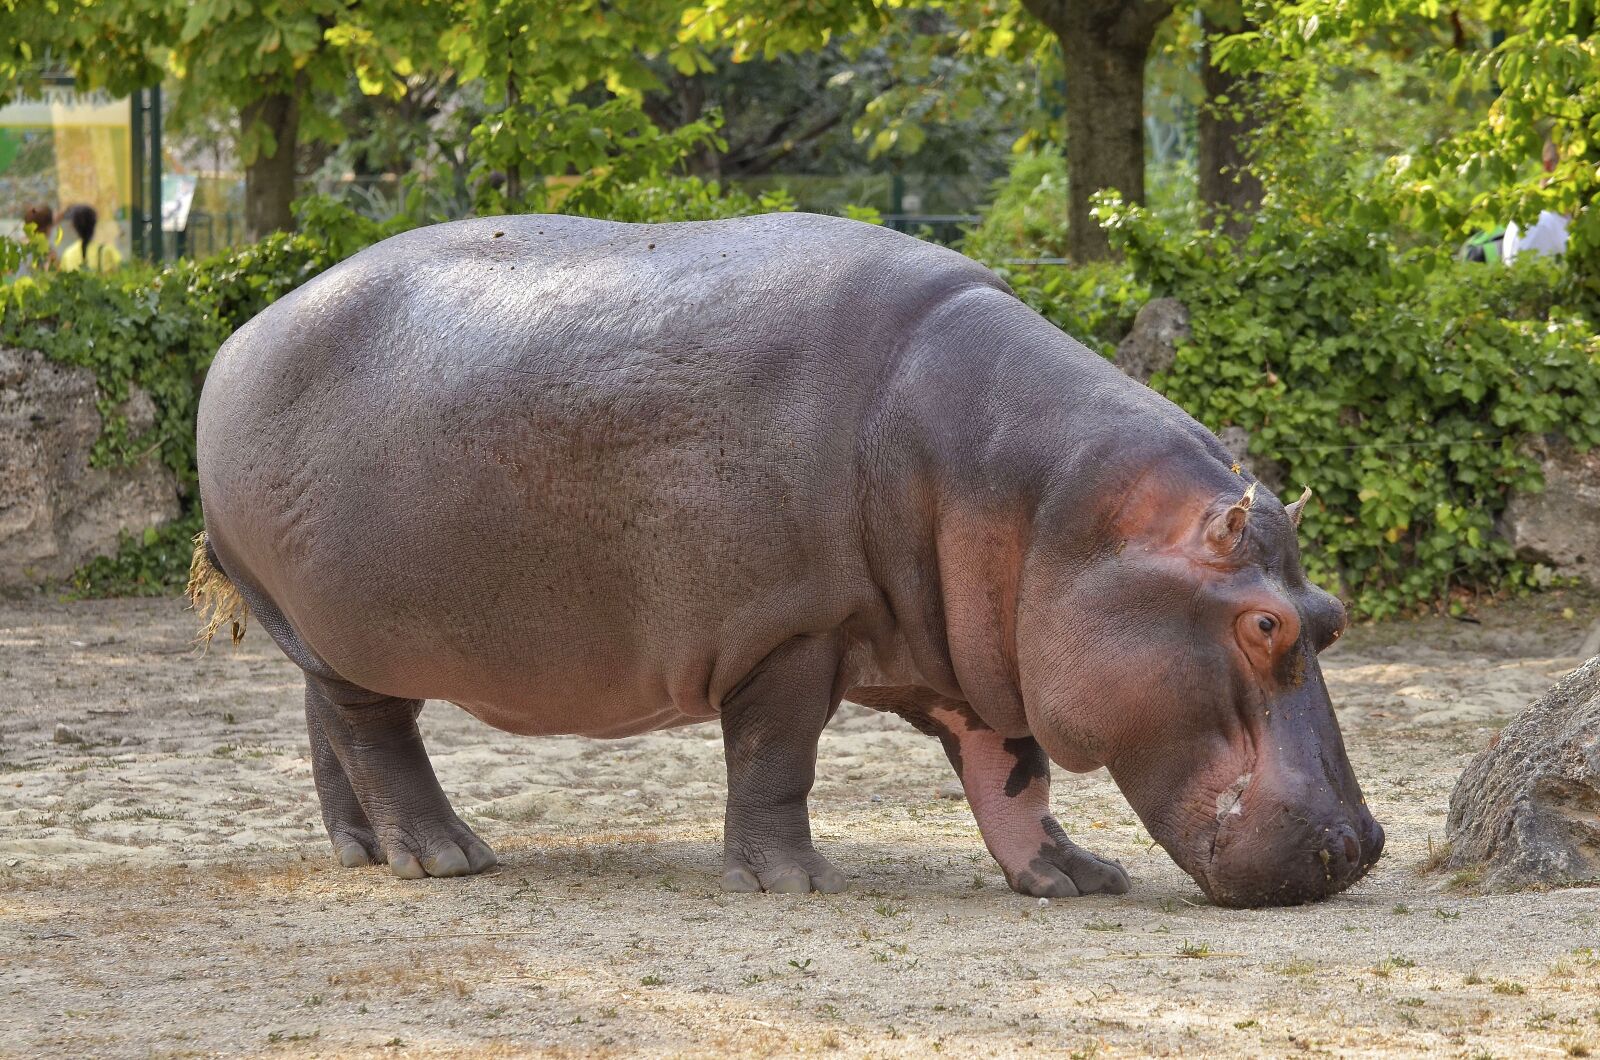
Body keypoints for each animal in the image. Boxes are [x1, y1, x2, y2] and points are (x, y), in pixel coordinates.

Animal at [191, 212, 1383, 907]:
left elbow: (1015, 771)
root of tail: (240, 338)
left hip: (323, 627)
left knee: (330, 727)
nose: (1364, 842)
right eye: (1264, 624)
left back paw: (361, 852)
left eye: (1329, 612)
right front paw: (794, 879)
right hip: (349, 627)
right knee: (377, 737)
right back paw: (446, 856)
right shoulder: (791, 629)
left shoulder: (985, 653)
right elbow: (777, 756)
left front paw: (1075, 877)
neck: (1054, 508)